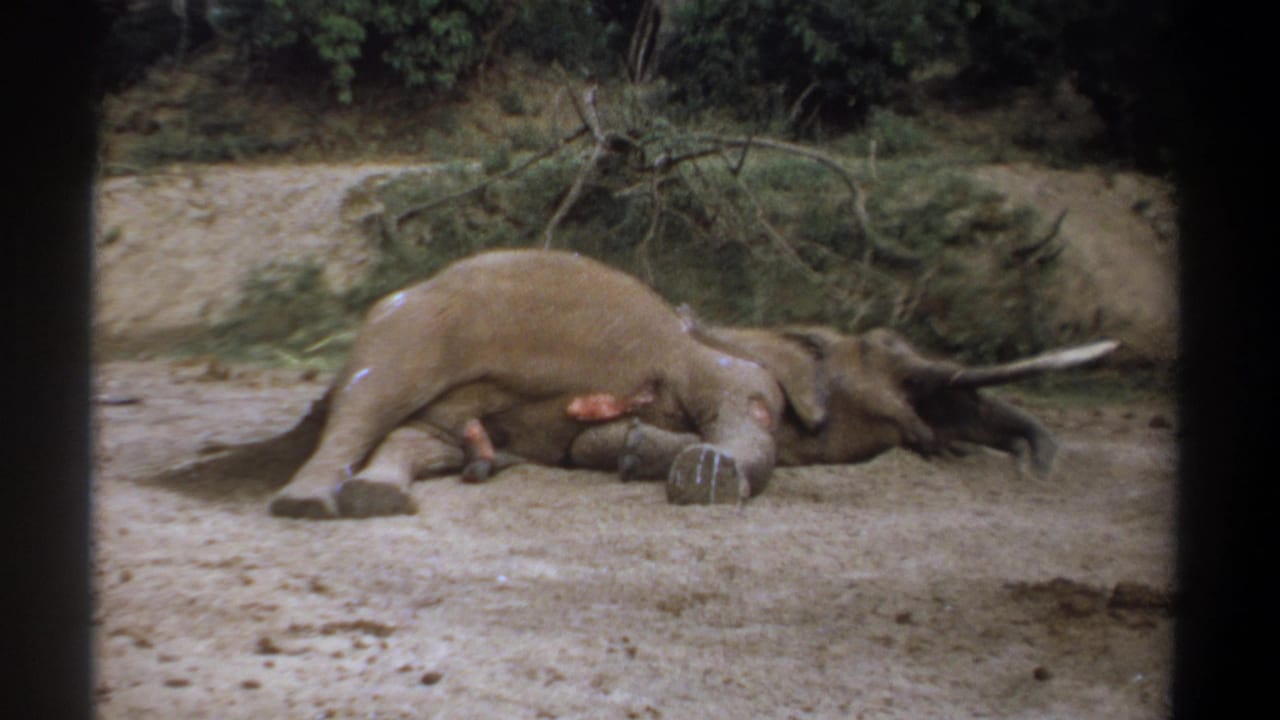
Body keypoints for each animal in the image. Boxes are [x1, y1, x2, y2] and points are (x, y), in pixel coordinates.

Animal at [269, 249, 784, 519]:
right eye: (765, 406)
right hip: (410, 331)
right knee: (370, 401)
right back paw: (306, 502)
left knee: (417, 433)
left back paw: (387, 493)